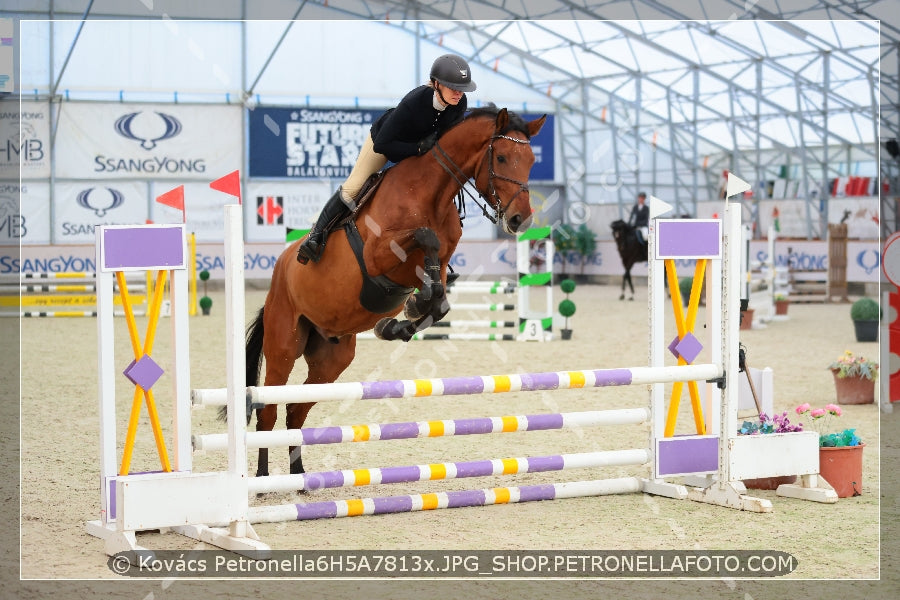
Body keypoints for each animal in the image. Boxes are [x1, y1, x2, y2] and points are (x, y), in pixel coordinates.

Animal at [243, 108, 544, 480]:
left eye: (531, 161)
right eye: (501, 157)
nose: (520, 220)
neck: (432, 194)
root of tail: (281, 270)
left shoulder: (439, 264)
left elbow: (439, 299)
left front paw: (399, 320)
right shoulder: (377, 254)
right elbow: (425, 236)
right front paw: (409, 310)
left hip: (331, 361)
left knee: (296, 412)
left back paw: (300, 479)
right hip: (284, 345)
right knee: (268, 410)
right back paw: (262, 478)